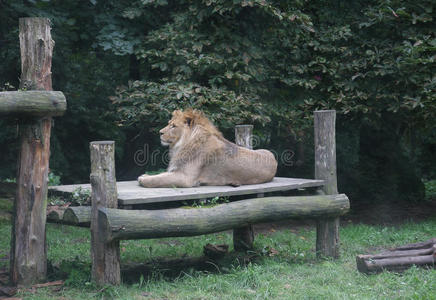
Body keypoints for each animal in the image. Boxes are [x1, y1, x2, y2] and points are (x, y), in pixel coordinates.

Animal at [138, 109, 278, 186]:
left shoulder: (186, 178)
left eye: (173, 126)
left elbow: (159, 180)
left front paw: (142, 179)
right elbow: (161, 175)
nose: (160, 132)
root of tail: (274, 159)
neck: (182, 144)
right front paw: (146, 175)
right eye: (168, 124)